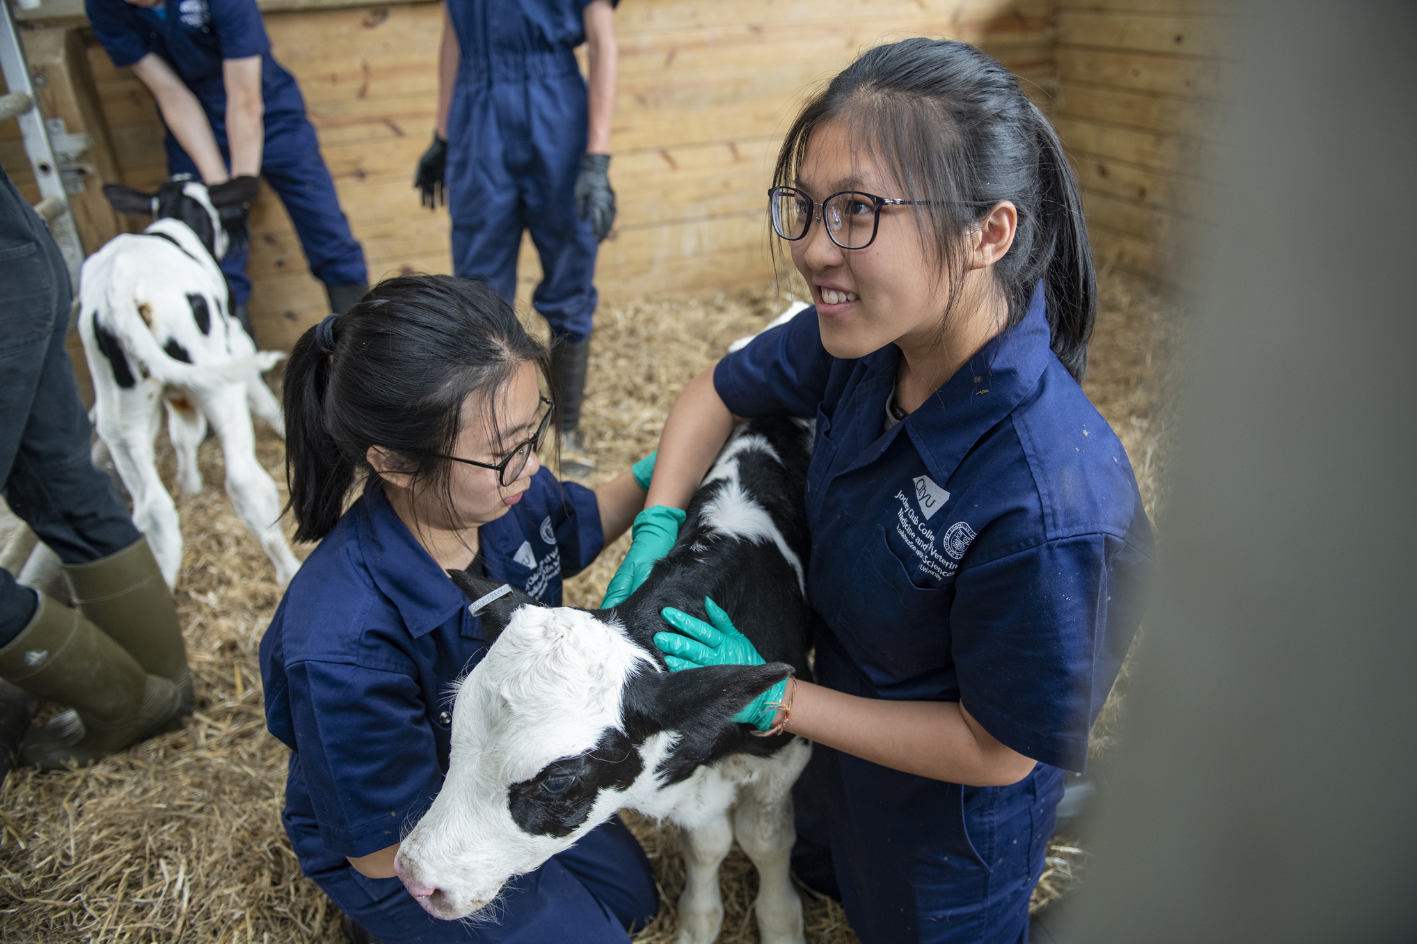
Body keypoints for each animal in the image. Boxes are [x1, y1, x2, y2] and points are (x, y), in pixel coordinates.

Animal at [78, 179, 298, 583]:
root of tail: (120, 284)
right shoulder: (236, 343)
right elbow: (261, 400)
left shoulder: (177, 391)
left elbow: (185, 433)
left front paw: (190, 483)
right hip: (218, 384)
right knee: (244, 481)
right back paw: (289, 569)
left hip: (120, 415)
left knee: (151, 509)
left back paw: (163, 581)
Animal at [399, 416, 821, 941]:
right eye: (453, 726)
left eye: (557, 782)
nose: (414, 879)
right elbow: (709, 844)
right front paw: (699, 922)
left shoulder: (787, 750)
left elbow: (764, 839)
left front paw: (781, 922)